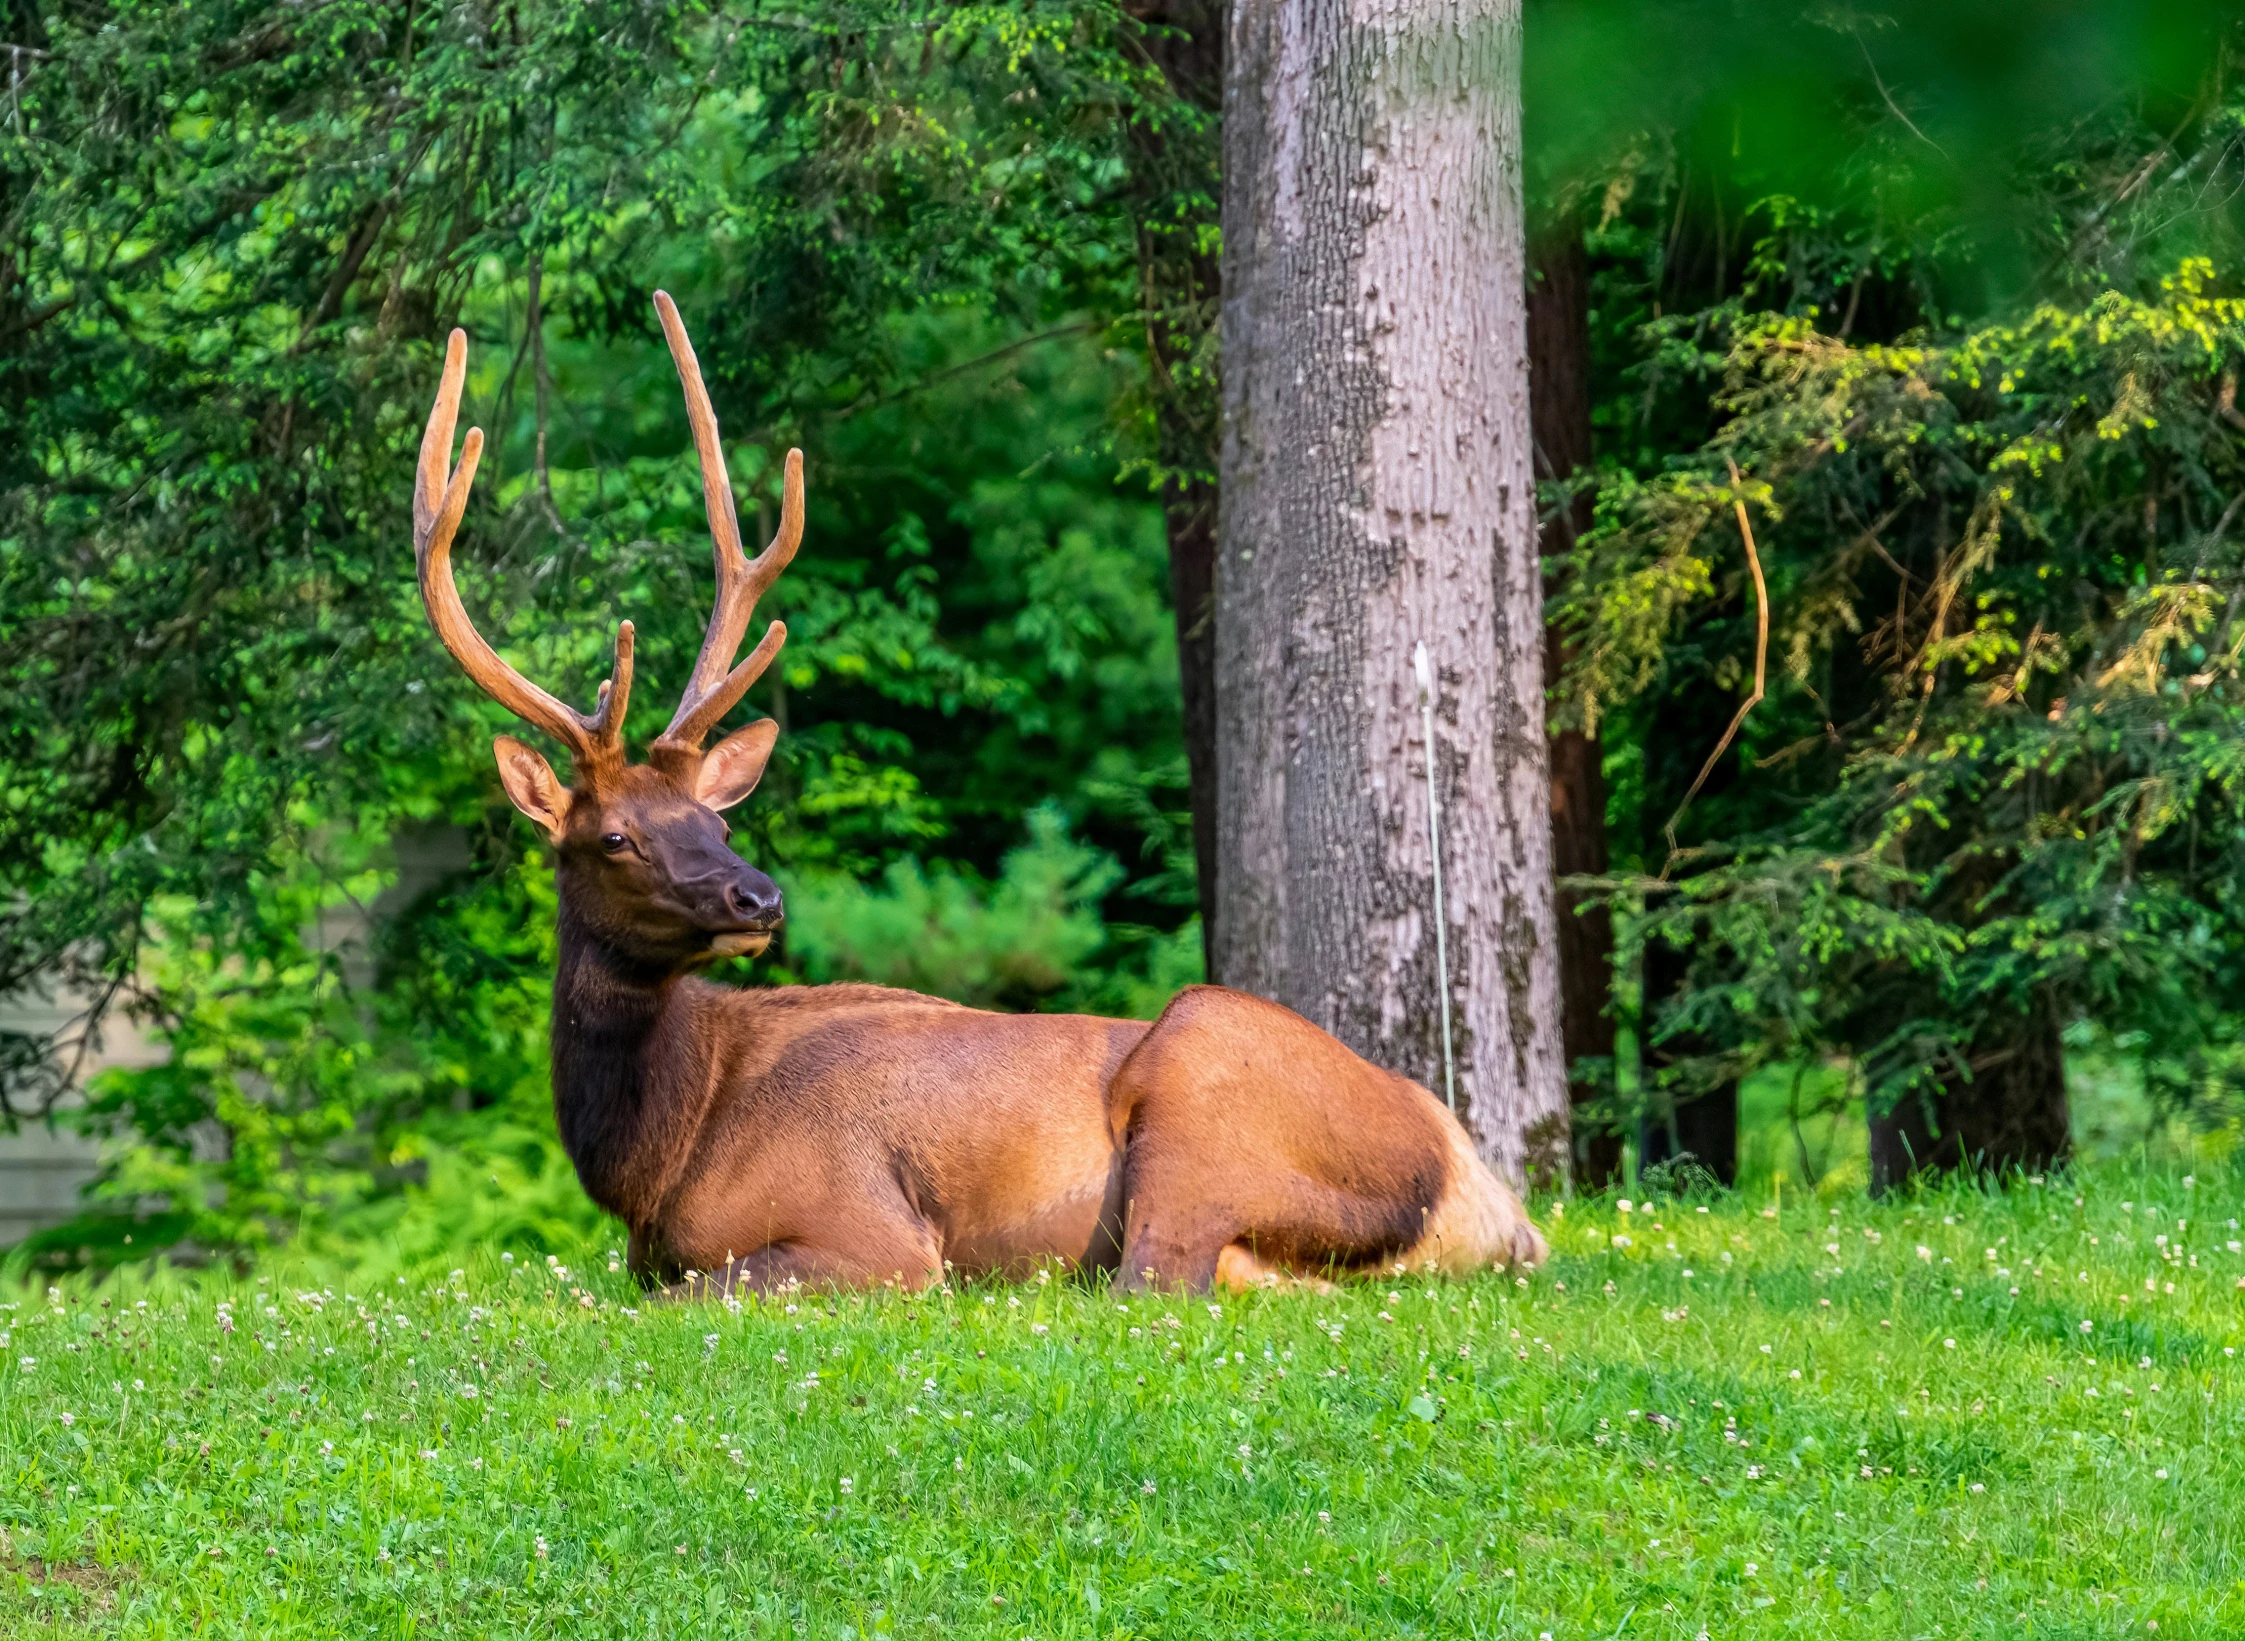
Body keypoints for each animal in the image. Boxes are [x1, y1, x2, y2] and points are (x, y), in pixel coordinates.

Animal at [413, 291, 1553, 1293]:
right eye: (616, 837)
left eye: (709, 818)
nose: (758, 898)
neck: (653, 1158)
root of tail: (1491, 1200)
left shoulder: (868, 1231)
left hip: (1200, 1080)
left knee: (1153, 1278)